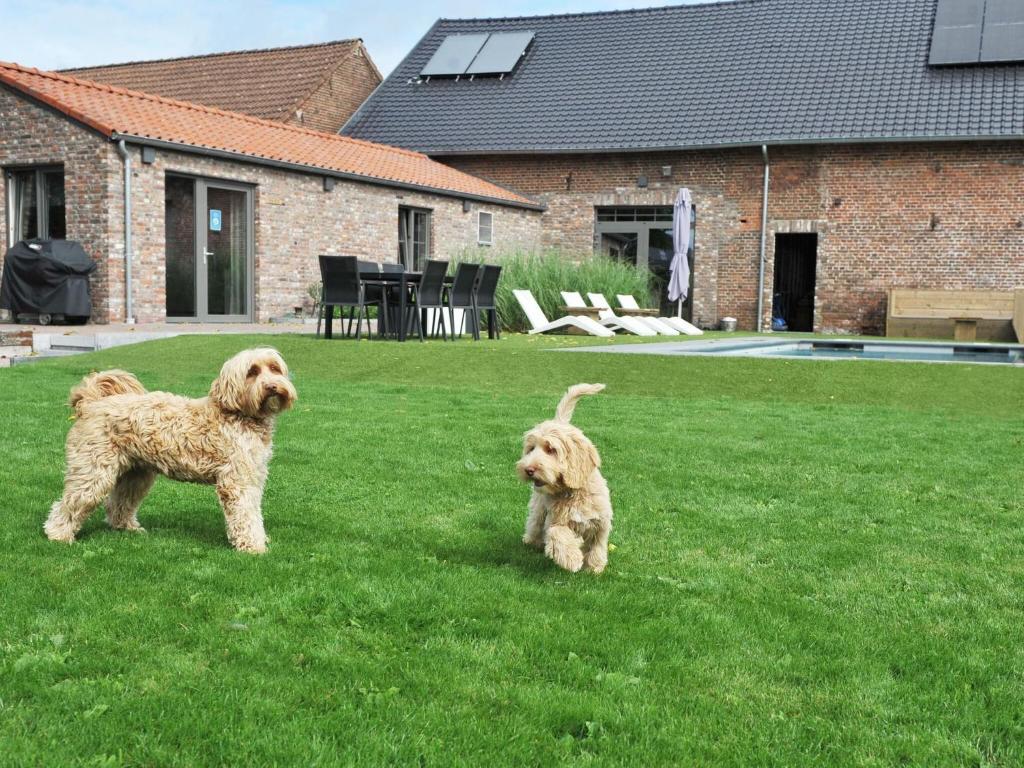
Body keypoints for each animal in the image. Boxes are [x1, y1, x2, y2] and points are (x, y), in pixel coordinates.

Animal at [46, 348, 299, 552]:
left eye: (274, 368)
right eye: (252, 372)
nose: (272, 386)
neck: (236, 414)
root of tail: (90, 403)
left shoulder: (253, 476)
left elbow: (254, 511)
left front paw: (260, 540)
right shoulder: (237, 481)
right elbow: (245, 514)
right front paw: (254, 547)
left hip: (136, 475)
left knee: (118, 503)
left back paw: (127, 528)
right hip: (93, 470)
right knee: (71, 503)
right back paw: (58, 535)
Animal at [516, 382, 610, 573]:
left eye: (551, 449)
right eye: (531, 449)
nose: (528, 469)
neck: (572, 492)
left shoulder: (601, 522)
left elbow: (598, 545)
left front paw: (595, 567)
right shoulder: (555, 519)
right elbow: (557, 533)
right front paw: (571, 559)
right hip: (539, 509)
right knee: (535, 524)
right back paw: (531, 541)